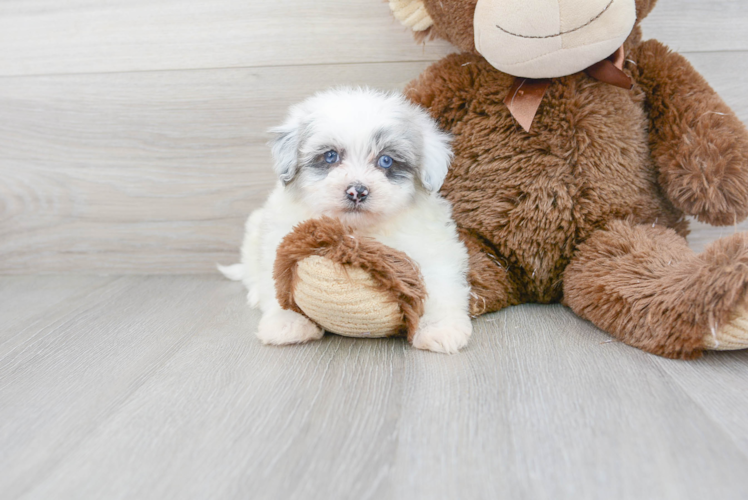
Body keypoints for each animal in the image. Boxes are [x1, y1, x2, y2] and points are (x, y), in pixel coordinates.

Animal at [219, 88, 470, 354]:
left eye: (386, 161)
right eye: (330, 156)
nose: (357, 191)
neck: (357, 229)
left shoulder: (432, 246)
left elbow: (440, 283)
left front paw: (440, 327)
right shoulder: (281, 240)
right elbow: (279, 281)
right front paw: (287, 322)